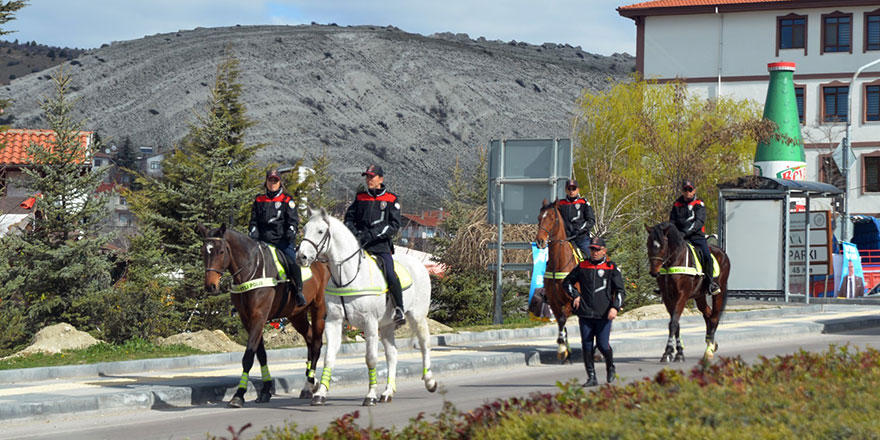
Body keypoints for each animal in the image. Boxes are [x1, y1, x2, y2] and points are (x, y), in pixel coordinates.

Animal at [199, 225, 330, 408]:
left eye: (221, 251)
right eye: (204, 251)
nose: (210, 286)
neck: (251, 271)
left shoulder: (258, 317)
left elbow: (248, 357)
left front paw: (239, 395)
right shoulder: (247, 319)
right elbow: (261, 354)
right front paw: (266, 391)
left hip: (318, 310)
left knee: (317, 344)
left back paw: (313, 383)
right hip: (297, 315)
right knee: (310, 339)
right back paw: (307, 386)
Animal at [298, 208, 438, 408]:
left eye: (320, 231)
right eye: (304, 228)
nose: (301, 256)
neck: (347, 276)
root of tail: (419, 264)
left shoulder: (370, 324)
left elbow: (371, 359)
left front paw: (370, 395)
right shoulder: (334, 322)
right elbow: (329, 357)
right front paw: (320, 393)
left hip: (417, 316)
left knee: (425, 344)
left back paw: (430, 381)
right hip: (387, 325)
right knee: (392, 354)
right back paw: (387, 392)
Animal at [644, 222, 732, 362]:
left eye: (662, 245)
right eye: (648, 244)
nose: (654, 272)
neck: (673, 261)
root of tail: (722, 253)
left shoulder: (682, 295)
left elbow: (673, 323)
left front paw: (668, 352)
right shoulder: (668, 298)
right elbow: (676, 323)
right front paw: (677, 351)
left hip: (719, 292)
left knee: (714, 318)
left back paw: (709, 350)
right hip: (699, 295)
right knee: (707, 313)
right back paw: (712, 343)